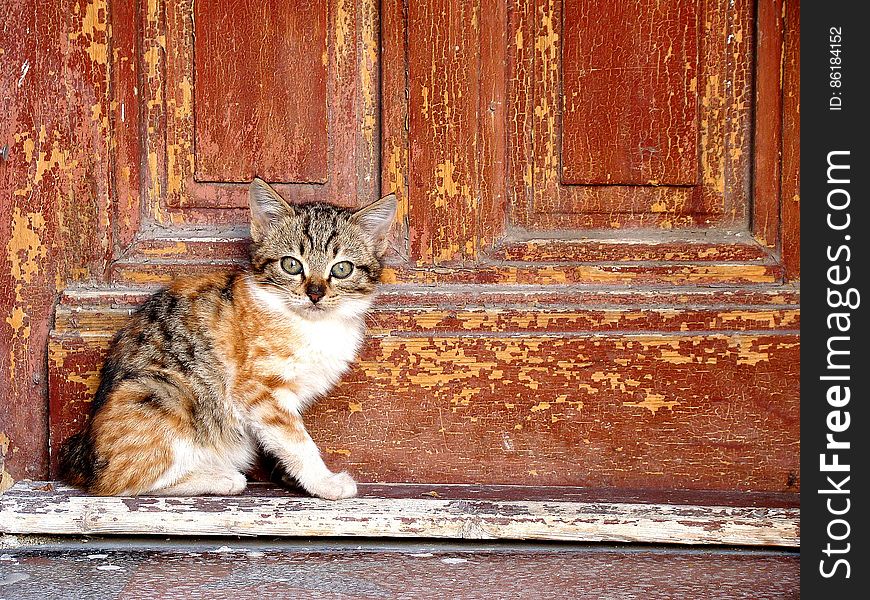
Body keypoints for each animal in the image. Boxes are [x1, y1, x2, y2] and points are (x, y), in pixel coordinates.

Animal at [56, 180, 394, 500]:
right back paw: (220, 478)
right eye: (291, 264)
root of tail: (84, 455)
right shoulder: (257, 390)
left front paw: (290, 477)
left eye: (342, 268)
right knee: (119, 482)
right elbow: (296, 440)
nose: (315, 293)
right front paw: (323, 482)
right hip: (163, 393)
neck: (313, 325)